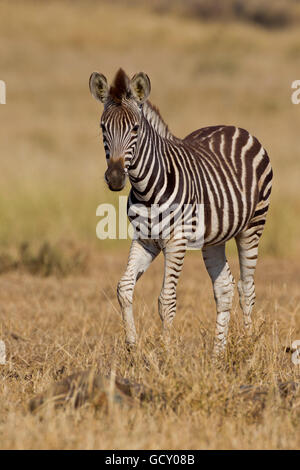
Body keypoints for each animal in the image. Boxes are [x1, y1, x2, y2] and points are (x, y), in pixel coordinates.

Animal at [88, 69, 272, 356]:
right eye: (103, 127)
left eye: (135, 128)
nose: (116, 178)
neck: (147, 190)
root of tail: (236, 128)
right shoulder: (145, 240)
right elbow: (124, 288)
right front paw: (132, 348)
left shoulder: (176, 241)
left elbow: (167, 300)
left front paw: (165, 354)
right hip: (213, 239)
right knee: (225, 289)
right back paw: (217, 356)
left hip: (253, 226)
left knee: (247, 288)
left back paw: (249, 348)